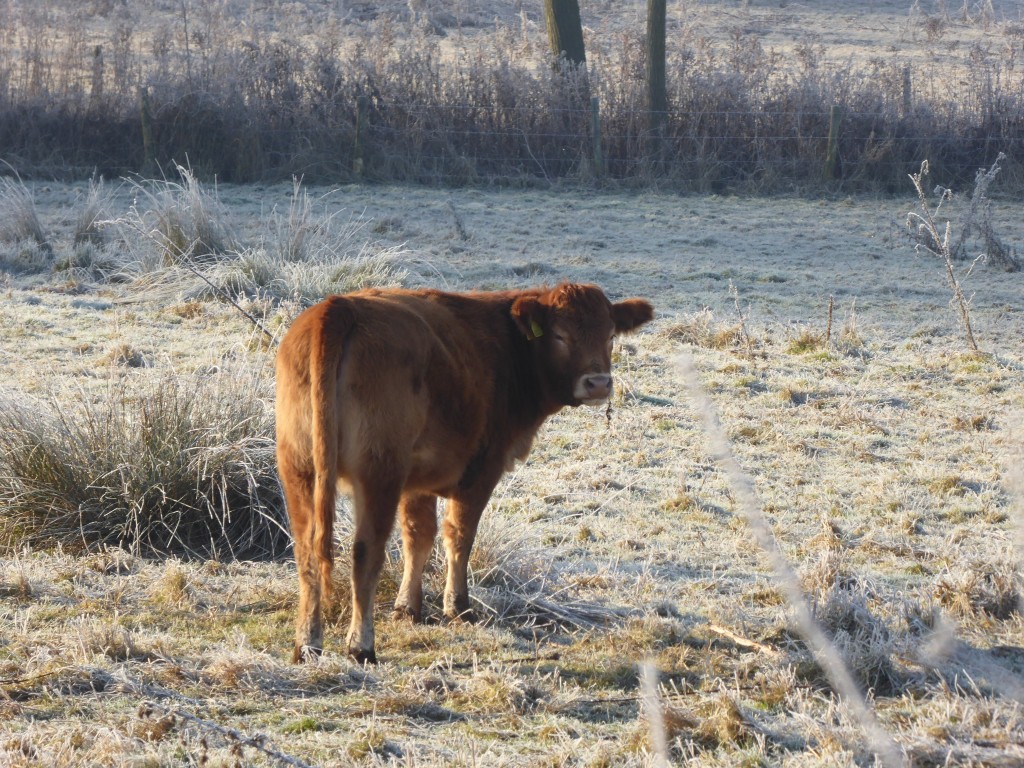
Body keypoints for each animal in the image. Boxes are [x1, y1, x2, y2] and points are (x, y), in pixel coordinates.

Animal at [276, 282, 651, 663]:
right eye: (560, 335)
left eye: (610, 335)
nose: (598, 383)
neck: (509, 346)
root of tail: (339, 308)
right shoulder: (481, 470)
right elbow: (459, 535)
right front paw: (458, 607)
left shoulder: (417, 480)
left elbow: (418, 537)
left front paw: (407, 608)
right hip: (378, 473)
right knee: (366, 552)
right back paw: (361, 645)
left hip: (300, 470)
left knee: (307, 550)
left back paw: (307, 643)